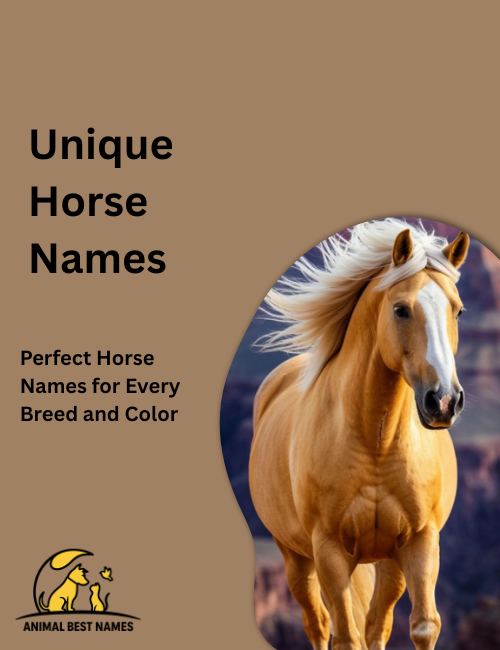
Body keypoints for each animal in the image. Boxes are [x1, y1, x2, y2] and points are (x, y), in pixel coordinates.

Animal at [249, 219, 469, 650]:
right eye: (401, 309)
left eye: (458, 310)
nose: (444, 401)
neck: (376, 444)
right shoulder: (329, 550)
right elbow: (346, 636)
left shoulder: (419, 541)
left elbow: (421, 626)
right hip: (295, 557)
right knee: (318, 624)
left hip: (386, 561)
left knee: (375, 624)